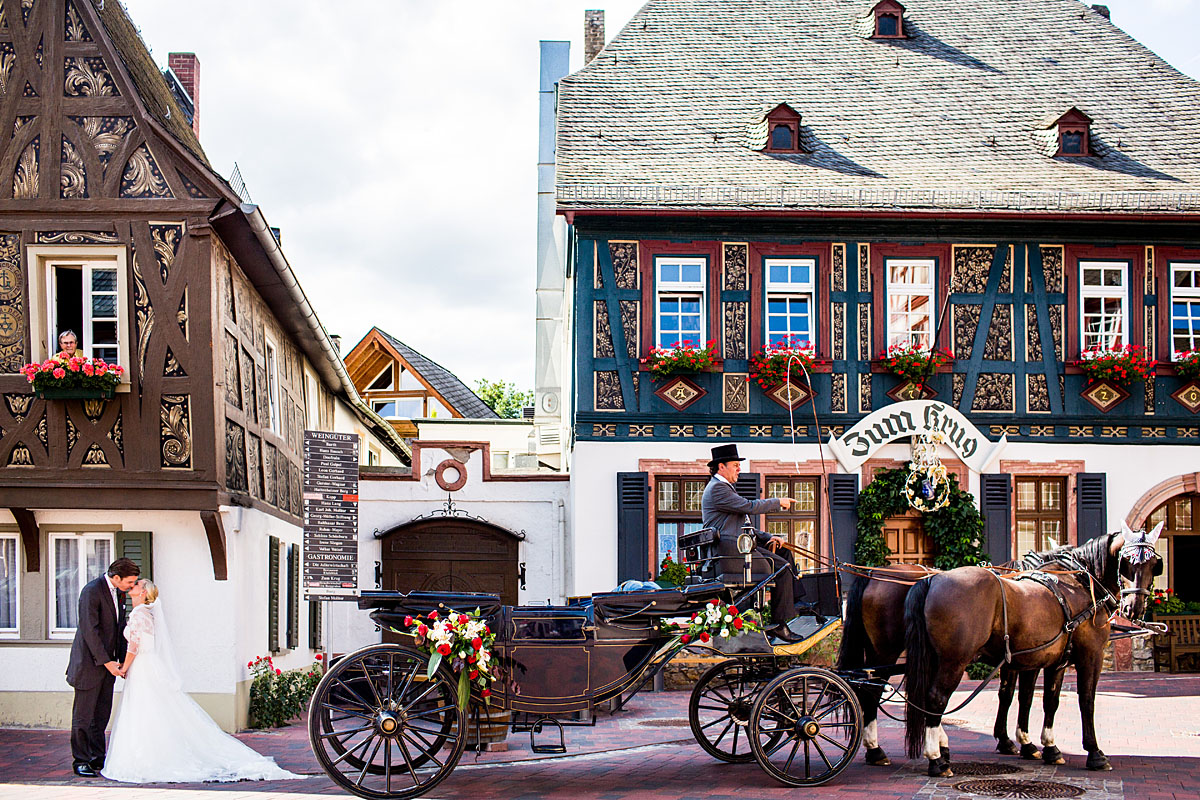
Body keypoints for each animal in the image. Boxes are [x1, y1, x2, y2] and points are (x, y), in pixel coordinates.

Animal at [902, 525, 1166, 777]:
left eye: (1154, 565)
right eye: (1127, 562)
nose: (1133, 607)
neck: (1079, 584)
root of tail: (932, 580)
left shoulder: (1048, 660)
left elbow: (1041, 699)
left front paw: (1044, 746)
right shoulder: (1091, 655)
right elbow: (1086, 700)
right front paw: (1094, 752)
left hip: (936, 659)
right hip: (954, 661)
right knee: (936, 698)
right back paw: (936, 759)